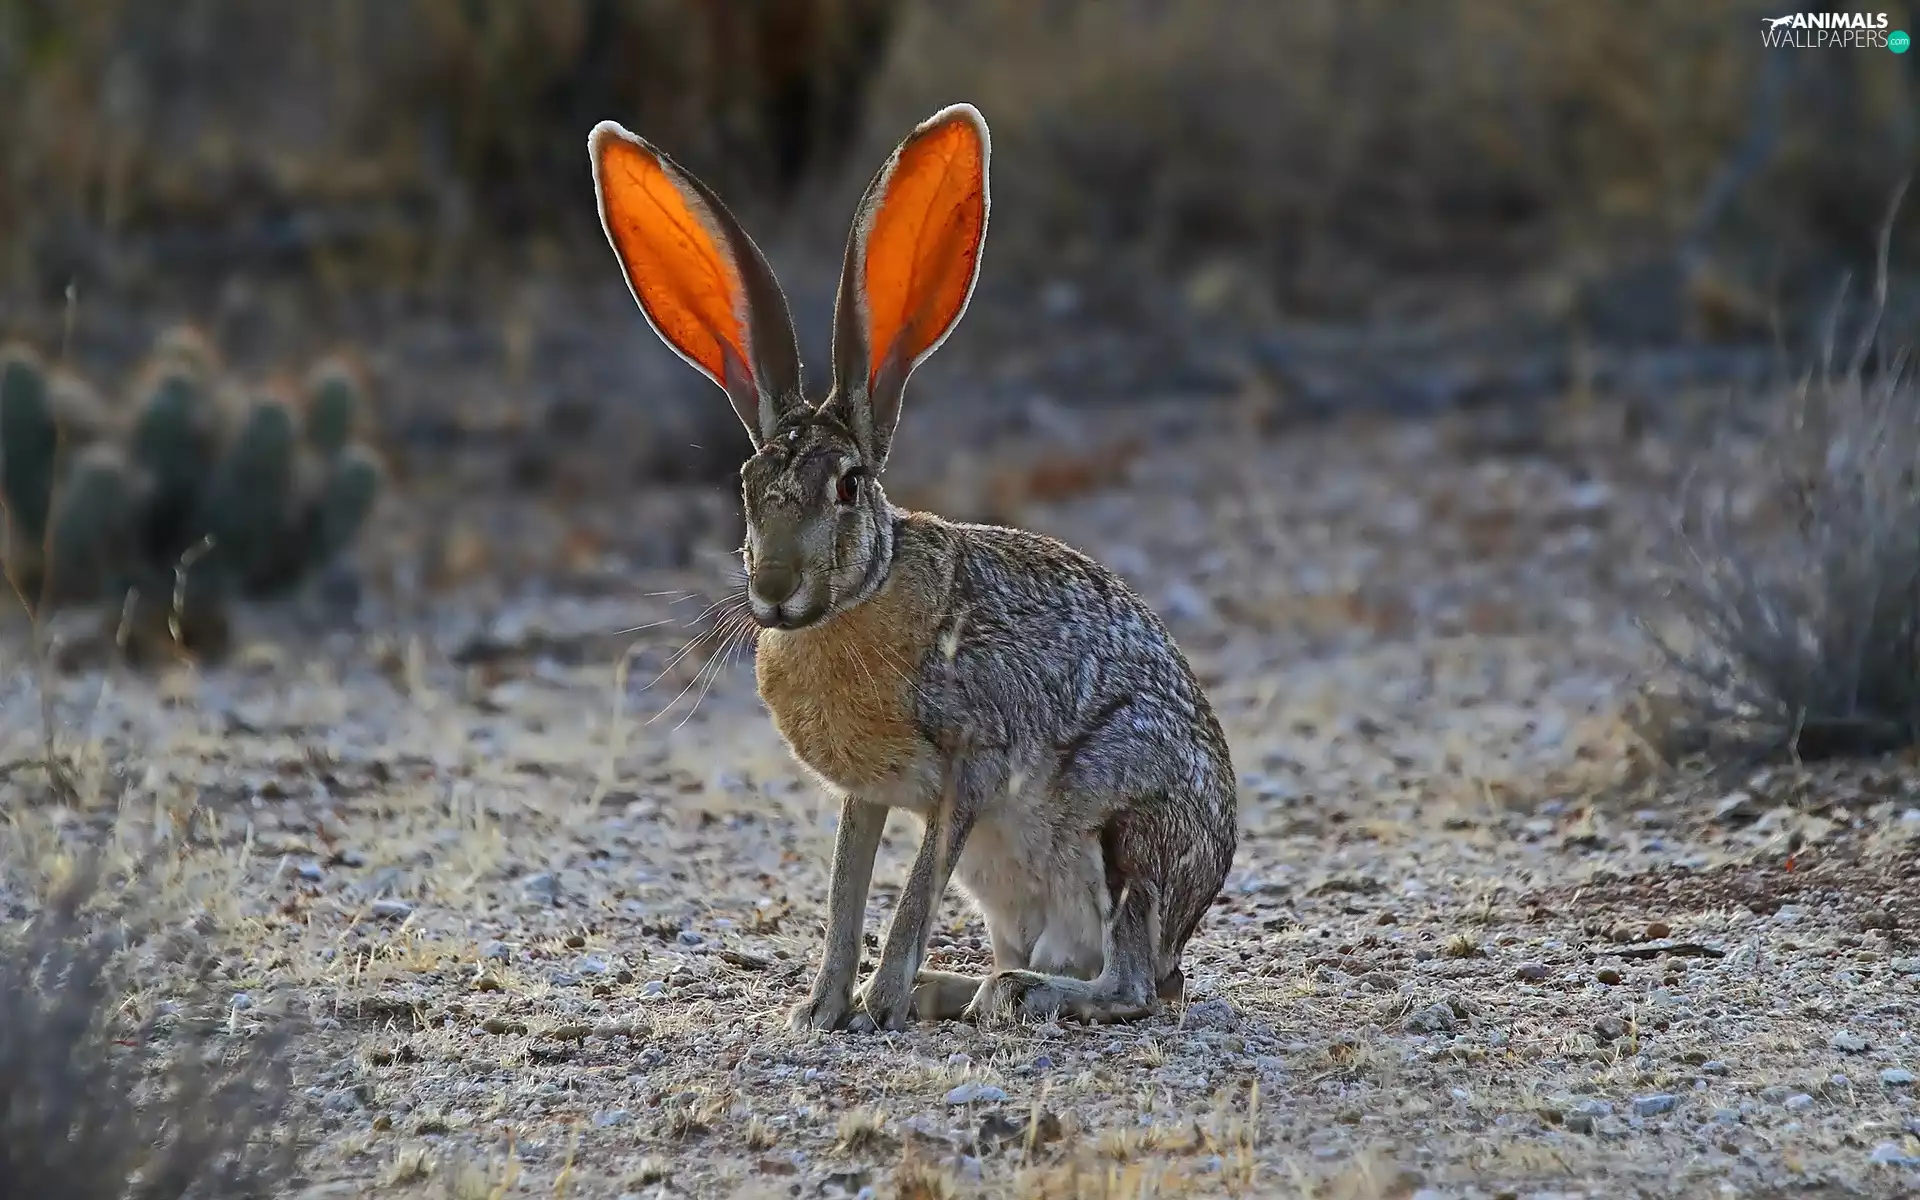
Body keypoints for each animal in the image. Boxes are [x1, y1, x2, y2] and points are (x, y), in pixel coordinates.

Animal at [589, 103, 1237, 1031]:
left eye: (850, 486)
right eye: (745, 486)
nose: (774, 591)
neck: (862, 595)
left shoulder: (976, 761)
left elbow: (911, 893)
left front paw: (880, 1001)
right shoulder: (865, 794)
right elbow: (845, 891)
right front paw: (822, 1008)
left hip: (1128, 824)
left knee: (1134, 984)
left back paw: (1015, 994)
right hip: (1012, 887)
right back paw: (957, 990)